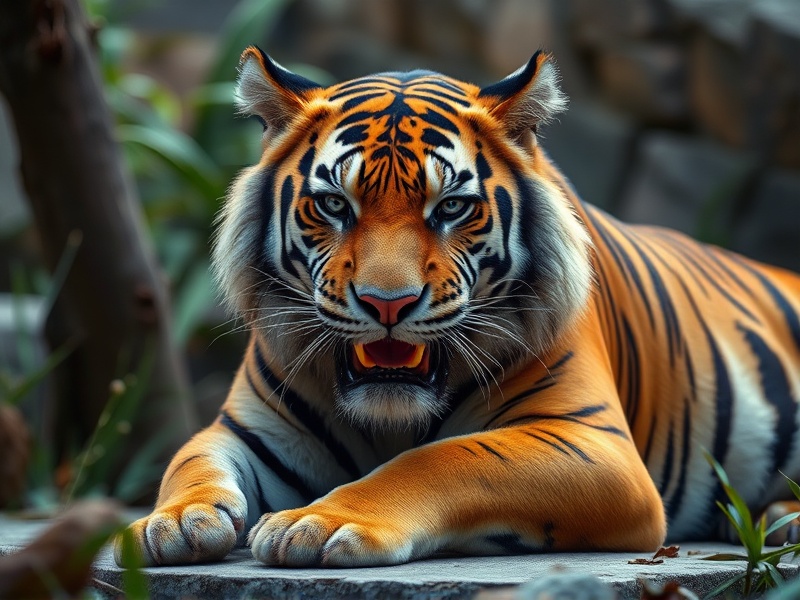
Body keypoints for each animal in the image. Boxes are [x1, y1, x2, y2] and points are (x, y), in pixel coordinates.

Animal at [116, 46, 800, 568]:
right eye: (335, 204)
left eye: (451, 208)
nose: (386, 304)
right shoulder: (247, 430)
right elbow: (188, 460)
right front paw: (173, 521)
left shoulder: (592, 441)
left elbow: (442, 460)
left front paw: (319, 522)